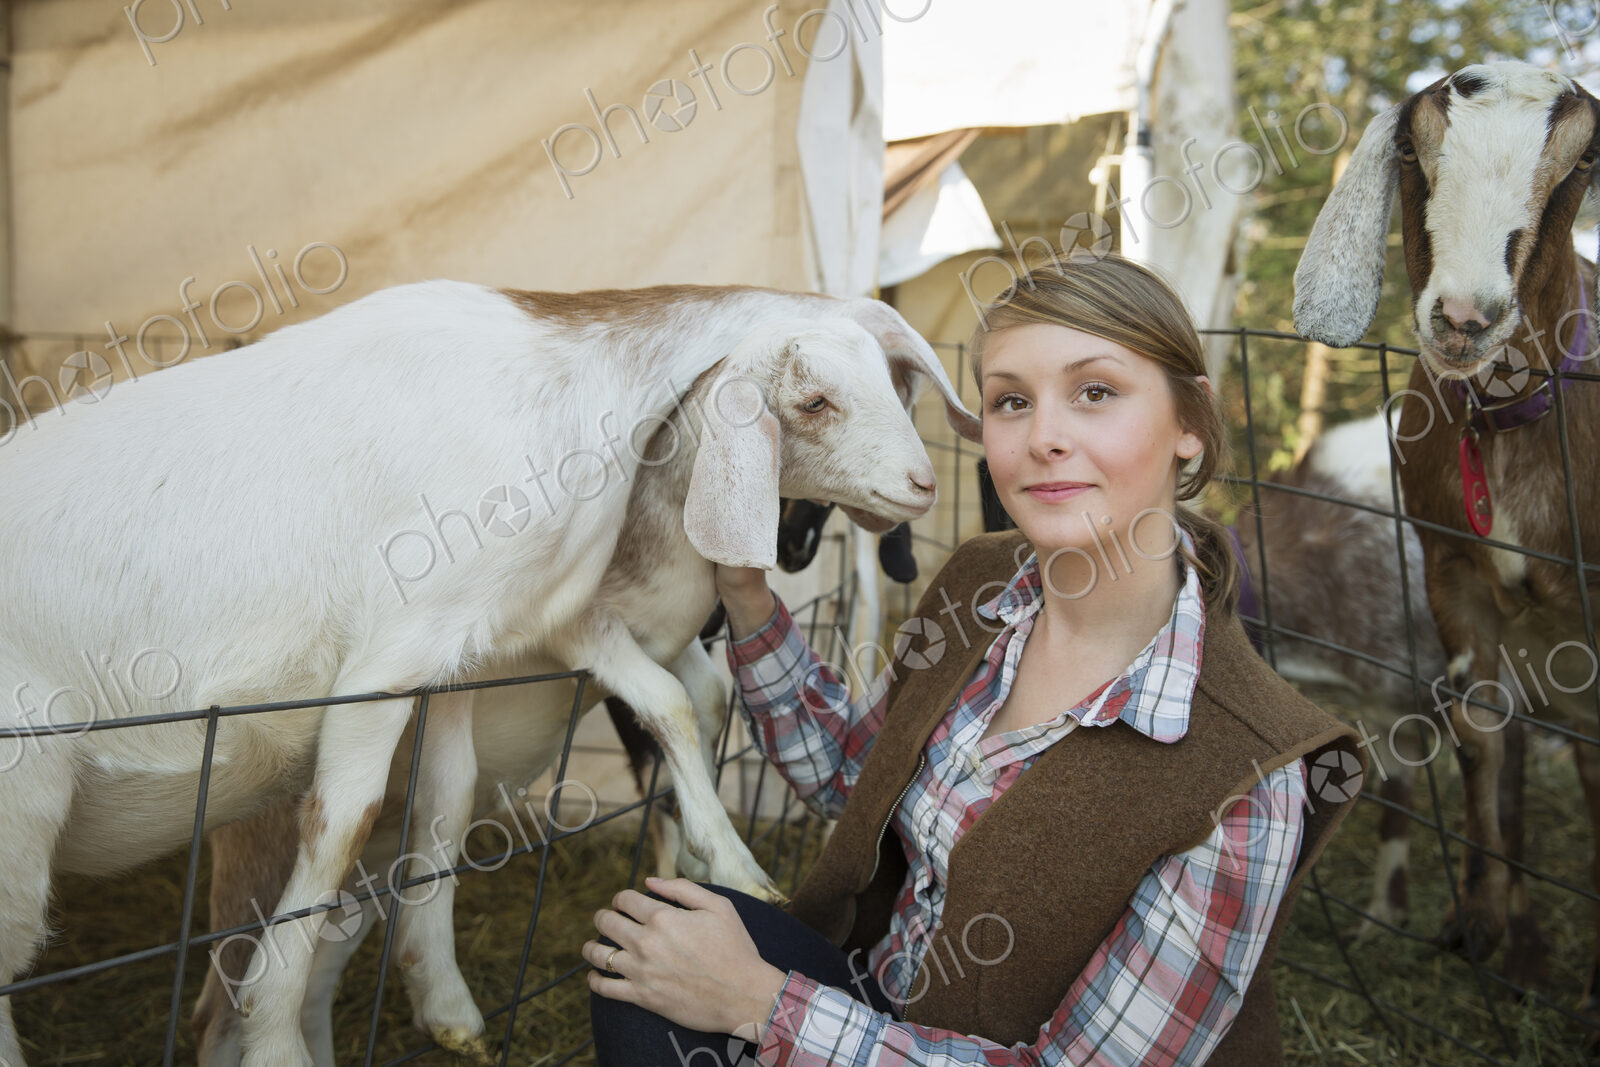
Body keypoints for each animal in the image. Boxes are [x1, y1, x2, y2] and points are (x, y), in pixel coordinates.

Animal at [0, 280, 982, 1067]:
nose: (924, 483)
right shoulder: (398, 652)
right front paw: (282, 1041)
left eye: (895, 385)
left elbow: (457, 791)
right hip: (30, 804)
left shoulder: (471, 649)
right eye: (812, 401)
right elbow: (346, 820)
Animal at [1295, 61, 1600, 1030]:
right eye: (1409, 145)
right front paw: (1480, 922)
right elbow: (1478, 736)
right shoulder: (1450, 571)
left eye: (1583, 163)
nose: (1467, 317)